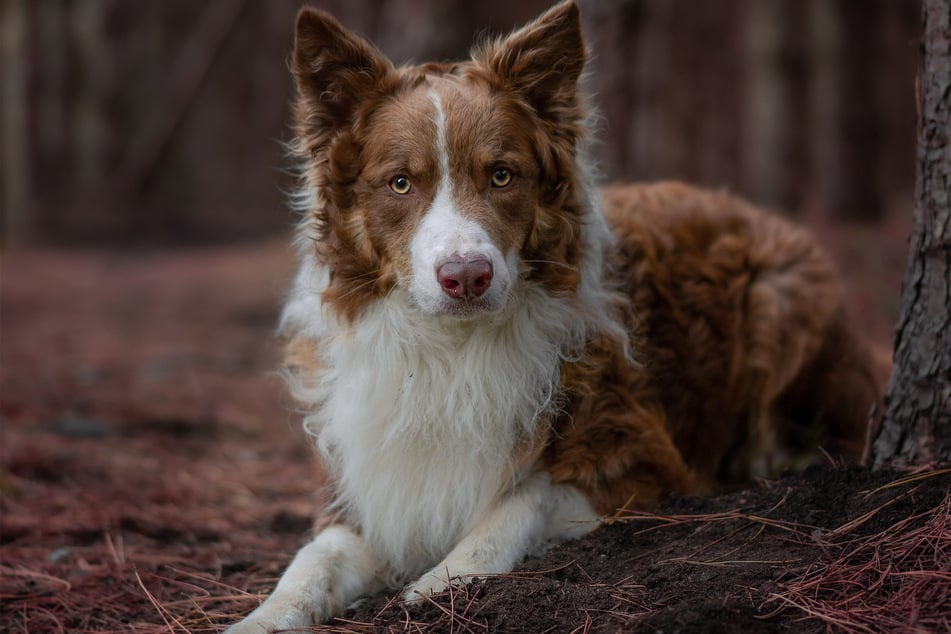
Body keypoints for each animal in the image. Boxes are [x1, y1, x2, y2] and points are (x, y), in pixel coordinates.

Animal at [227, 2, 880, 628]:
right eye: (401, 183)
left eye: (501, 174)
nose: (466, 276)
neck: (450, 349)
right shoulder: (366, 491)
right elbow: (310, 562)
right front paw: (261, 617)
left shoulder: (642, 460)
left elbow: (519, 502)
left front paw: (441, 583)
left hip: (779, 295)